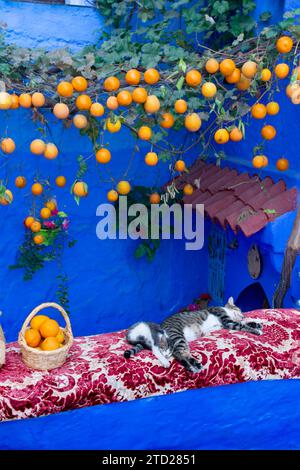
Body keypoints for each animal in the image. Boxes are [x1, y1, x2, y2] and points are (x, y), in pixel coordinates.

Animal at [123, 300, 262, 372]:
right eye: (238, 309)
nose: (243, 314)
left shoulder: (226, 324)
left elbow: (244, 323)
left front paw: (257, 324)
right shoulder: (226, 320)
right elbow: (242, 326)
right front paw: (256, 331)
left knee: (180, 354)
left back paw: (191, 366)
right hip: (178, 337)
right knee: (178, 354)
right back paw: (194, 365)